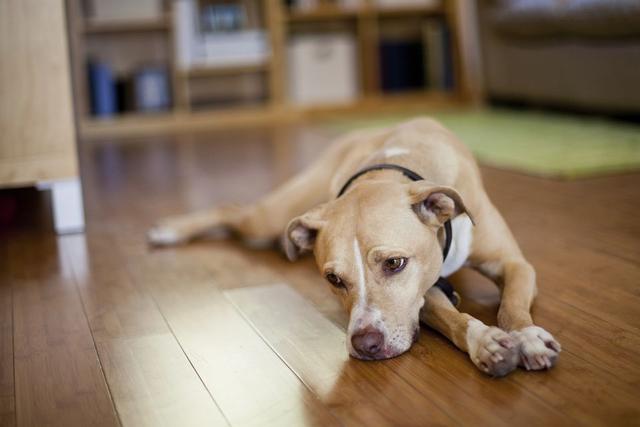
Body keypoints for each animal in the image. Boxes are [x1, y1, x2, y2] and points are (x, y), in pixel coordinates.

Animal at [149, 117, 560, 378]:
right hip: (271, 216)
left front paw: (527, 337)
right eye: (333, 279)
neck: (394, 167)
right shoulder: (420, 297)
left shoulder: (513, 262)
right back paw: (169, 231)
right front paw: (485, 342)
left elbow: (512, 304)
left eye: (394, 263)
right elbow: (451, 317)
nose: (365, 344)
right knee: (232, 209)